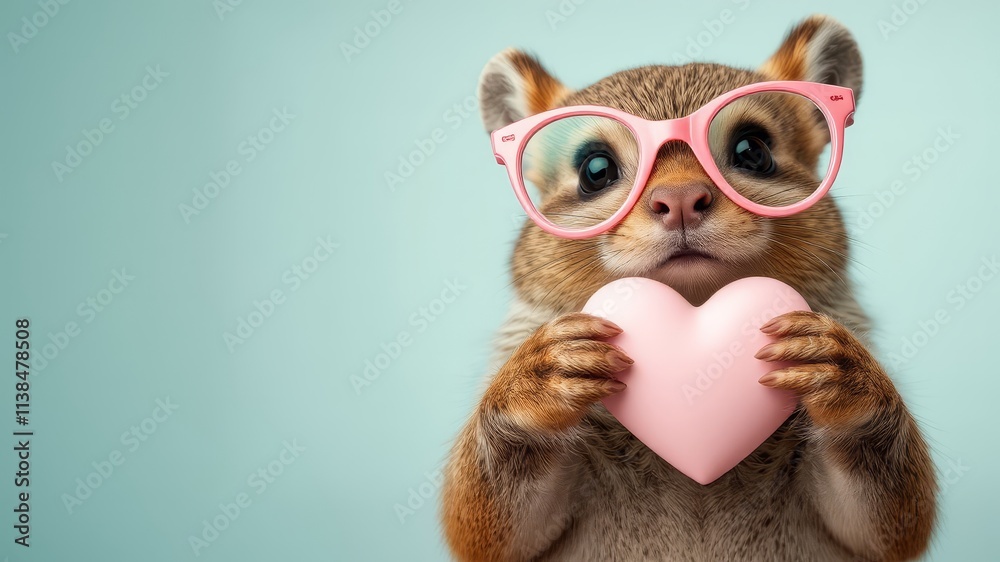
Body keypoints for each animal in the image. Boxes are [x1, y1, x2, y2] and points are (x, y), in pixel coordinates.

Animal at [441, 14, 937, 562]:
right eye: (595, 169)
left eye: (753, 150)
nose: (679, 199)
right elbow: (492, 520)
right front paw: (537, 376)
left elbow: (884, 515)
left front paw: (842, 370)